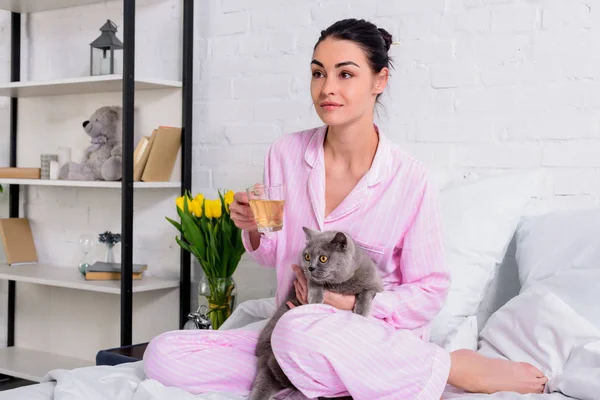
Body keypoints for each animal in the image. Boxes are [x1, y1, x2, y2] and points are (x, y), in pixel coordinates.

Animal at [248, 228, 384, 400]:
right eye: (307, 257)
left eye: (323, 258)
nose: (311, 267)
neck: (340, 286)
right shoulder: (305, 278)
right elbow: (314, 282)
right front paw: (316, 298)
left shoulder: (375, 283)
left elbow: (367, 292)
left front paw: (361, 311)